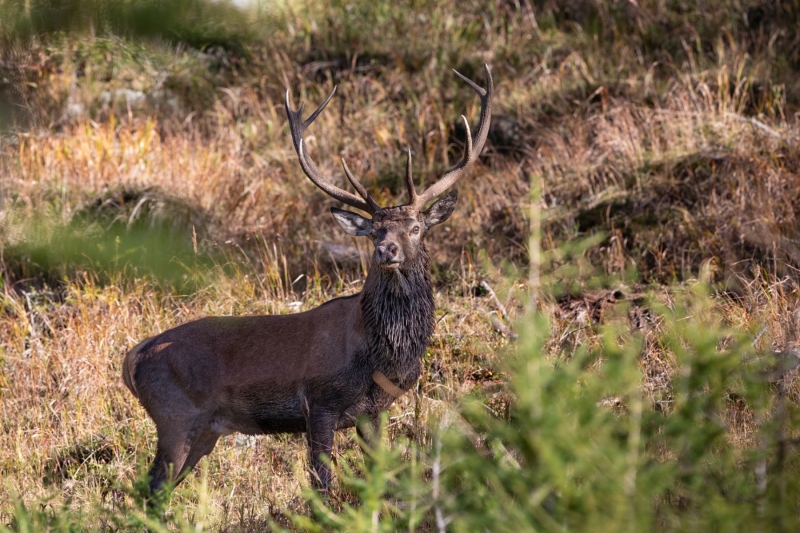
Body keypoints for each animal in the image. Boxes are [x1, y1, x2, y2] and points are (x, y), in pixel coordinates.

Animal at [122, 65, 493, 499]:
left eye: (416, 228)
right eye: (374, 232)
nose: (387, 251)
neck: (379, 351)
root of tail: (133, 358)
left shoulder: (374, 412)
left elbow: (374, 477)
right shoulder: (319, 401)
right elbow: (323, 483)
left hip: (204, 431)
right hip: (175, 416)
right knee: (150, 489)